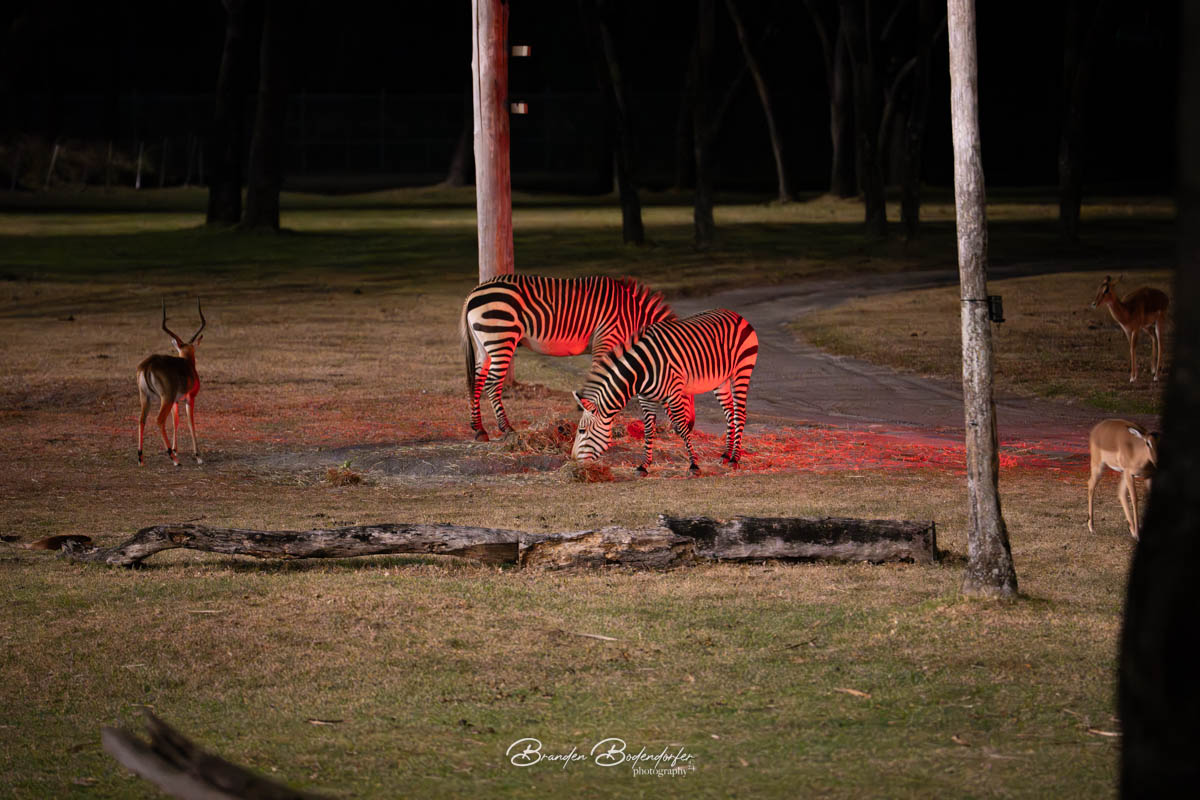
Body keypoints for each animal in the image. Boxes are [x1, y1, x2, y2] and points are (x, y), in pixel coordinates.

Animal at [461, 275, 675, 441]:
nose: (679, 430)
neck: (632, 317)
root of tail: (473, 292)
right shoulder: (606, 340)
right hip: (501, 337)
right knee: (492, 384)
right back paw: (507, 428)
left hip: (484, 345)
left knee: (477, 381)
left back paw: (479, 429)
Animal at [571, 308, 758, 475]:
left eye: (581, 431)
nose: (573, 461)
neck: (641, 371)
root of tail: (736, 315)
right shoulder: (645, 398)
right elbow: (648, 429)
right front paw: (644, 465)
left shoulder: (673, 394)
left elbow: (682, 426)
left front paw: (693, 464)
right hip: (721, 380)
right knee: (729, 413)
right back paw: (726, 454)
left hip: (741, 371)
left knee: (740, 414)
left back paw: (735, 458)